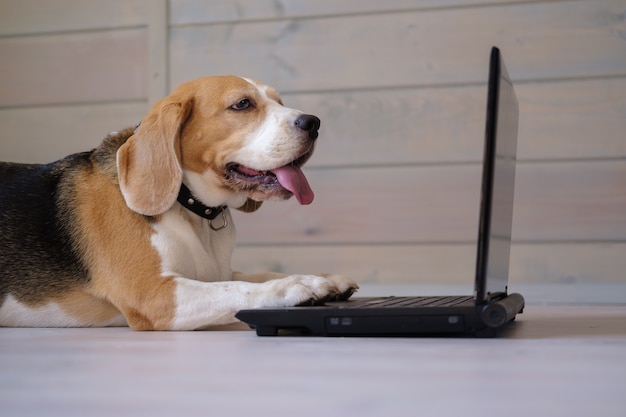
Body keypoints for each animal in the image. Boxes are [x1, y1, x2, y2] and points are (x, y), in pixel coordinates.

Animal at [0, 75, 358, 328]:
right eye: (242, 104)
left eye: (279, 101)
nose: (313, 123)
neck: (190, 207)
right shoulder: (155, 295)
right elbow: (241, 289)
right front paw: (296, 286)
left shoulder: (216, 273)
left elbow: (250, 276)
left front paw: (328, 280)